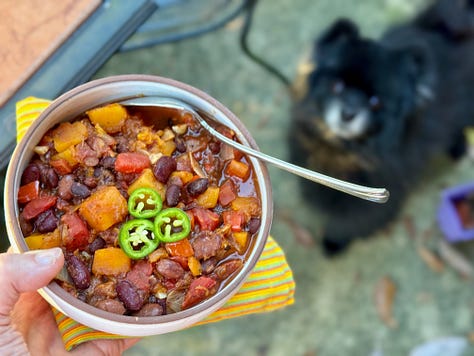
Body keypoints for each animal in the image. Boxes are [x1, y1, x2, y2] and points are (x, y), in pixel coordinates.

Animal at [288, 0, 474, 256]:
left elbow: (351, 222)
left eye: (375, 102)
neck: (345, 151)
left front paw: (334, 243)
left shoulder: (375, 200)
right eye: (337, 86)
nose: (348, 113)